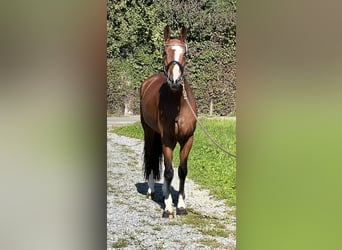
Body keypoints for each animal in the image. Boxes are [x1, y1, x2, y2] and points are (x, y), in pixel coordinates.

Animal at [140, 24, 198, 217]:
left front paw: (180, 205)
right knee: (152, 159)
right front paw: (167, 208)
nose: (175, 80)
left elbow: (181, 171)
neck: (178, 104)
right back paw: (151, 191)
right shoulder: (167, 140)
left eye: (185, 54)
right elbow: (169, 172)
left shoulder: (188, 139)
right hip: (150, 133)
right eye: (165, 53)